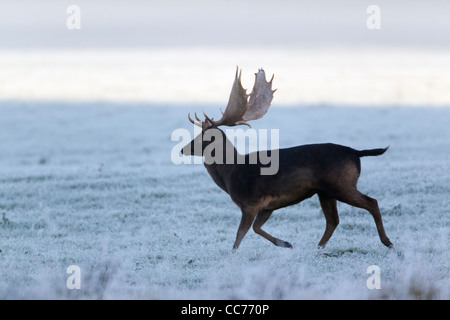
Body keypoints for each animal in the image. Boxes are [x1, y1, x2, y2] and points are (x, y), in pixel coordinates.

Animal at [181, 67, 392, 250]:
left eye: (204, 137)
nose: (183, 149)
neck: (231, 174)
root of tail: (356, 152)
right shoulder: (267, 205)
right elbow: (256, 228)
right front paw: (285, 243)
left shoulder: (251, 202)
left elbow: (240, 235)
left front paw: (233, 255)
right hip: (325, 191)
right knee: (333, 220)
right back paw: (317, 249)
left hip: (342, 184)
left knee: (371, 202)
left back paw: (387, 242)